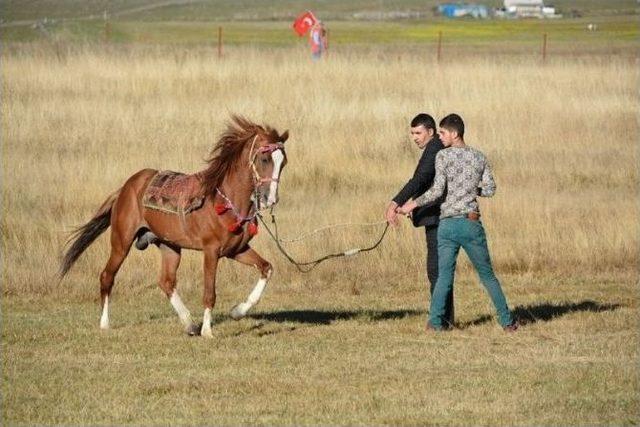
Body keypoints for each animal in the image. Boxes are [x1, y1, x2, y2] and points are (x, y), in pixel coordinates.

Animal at [60, 116, 290, 338]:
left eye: (283, 163)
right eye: (264, 158)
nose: (271, 199)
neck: (225, 200)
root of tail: (126, 187)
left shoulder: (236, 250)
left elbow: (266, 268)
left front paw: (237, 311)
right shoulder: (211, 251)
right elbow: (209, 293)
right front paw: (208, 332)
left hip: (169, 246)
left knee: (166, 281)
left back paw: (190, 324)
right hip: (121, 242)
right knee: (107, 276)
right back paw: (105, 324)